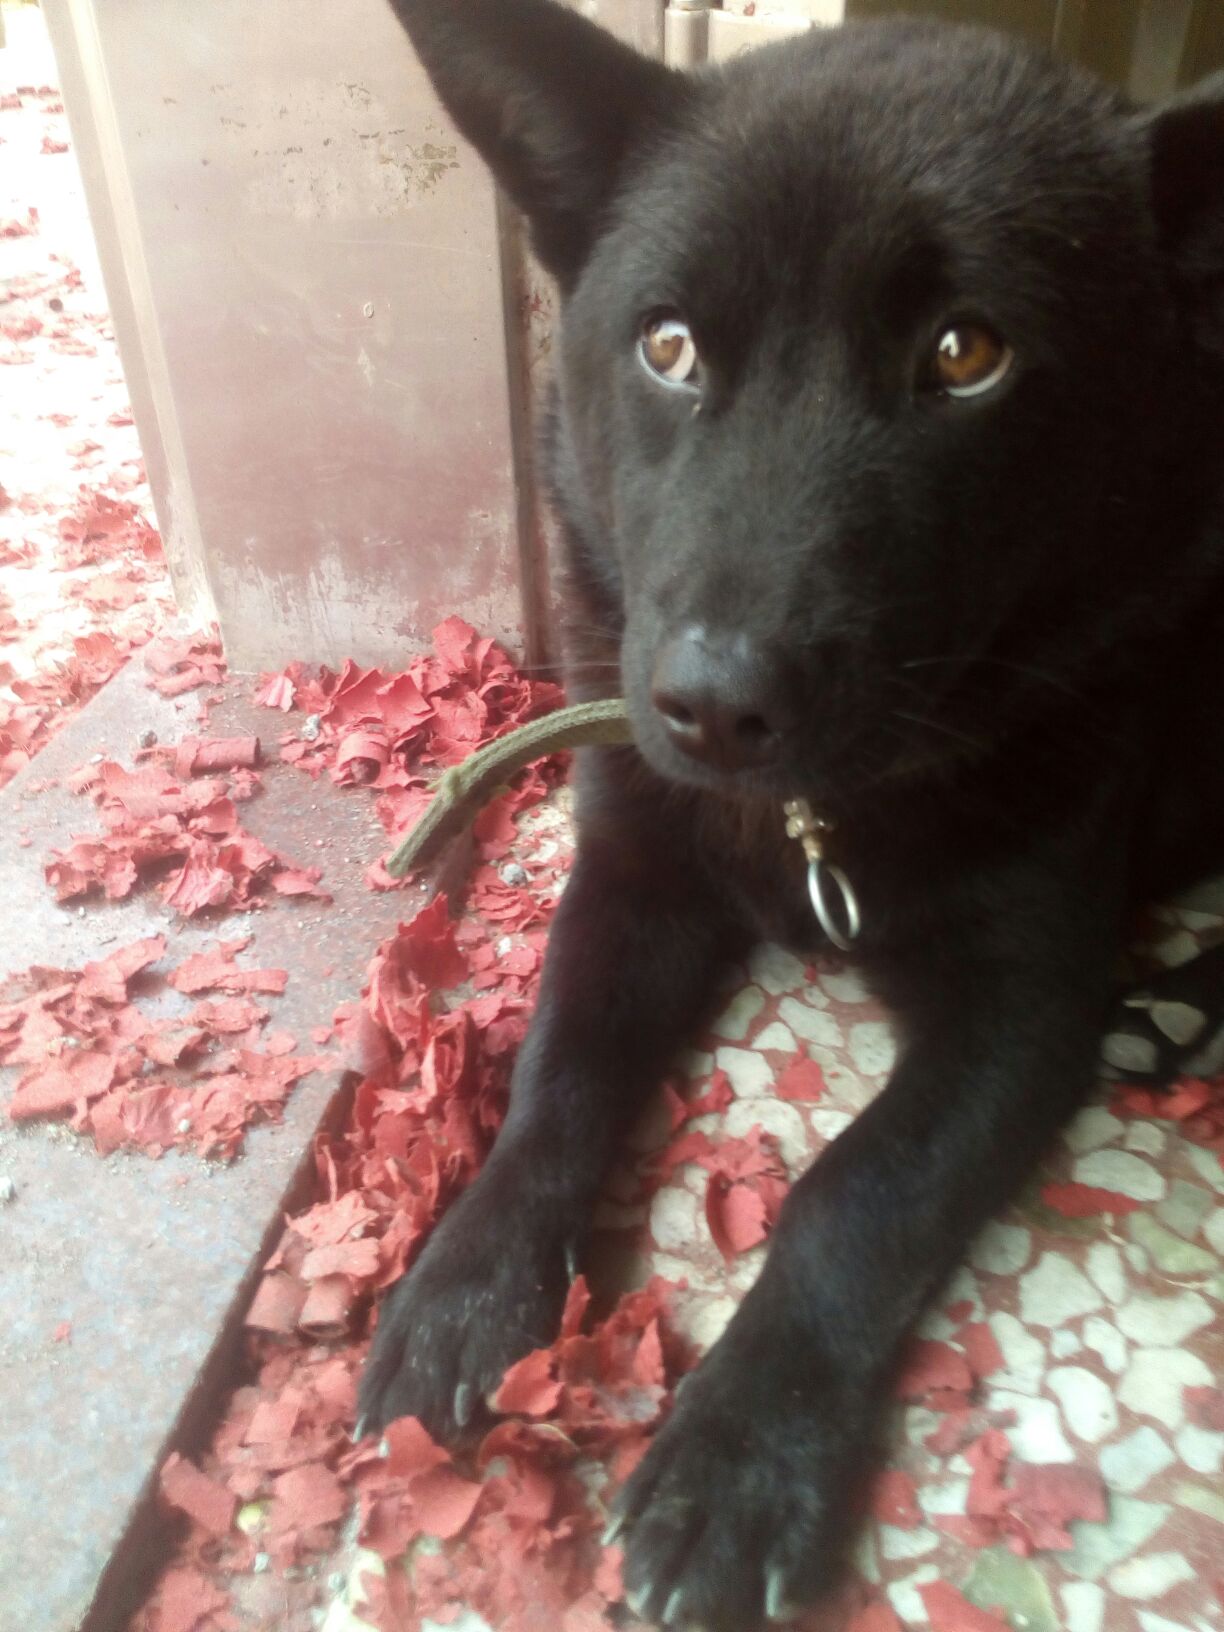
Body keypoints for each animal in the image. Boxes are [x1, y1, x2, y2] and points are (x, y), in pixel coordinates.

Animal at [358, 4, 1224, 1625]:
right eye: (669, 346)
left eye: (967, 353)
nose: (713, 705)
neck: (809, 821)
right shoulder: (631, 878)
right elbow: (558, 1076)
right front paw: (468, 1281)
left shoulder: (1024, 1004)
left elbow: (852, 1196)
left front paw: (742, 1455)